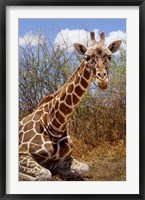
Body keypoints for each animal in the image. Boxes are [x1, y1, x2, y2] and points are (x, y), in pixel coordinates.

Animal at [19, 31, 121, 181]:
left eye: (110, 57)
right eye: (87, 57)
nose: (102, 79)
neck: (54, 125)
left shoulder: (66, 157)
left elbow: (85, 168)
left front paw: (63, 171)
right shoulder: (22, 153)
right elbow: (44, 174)